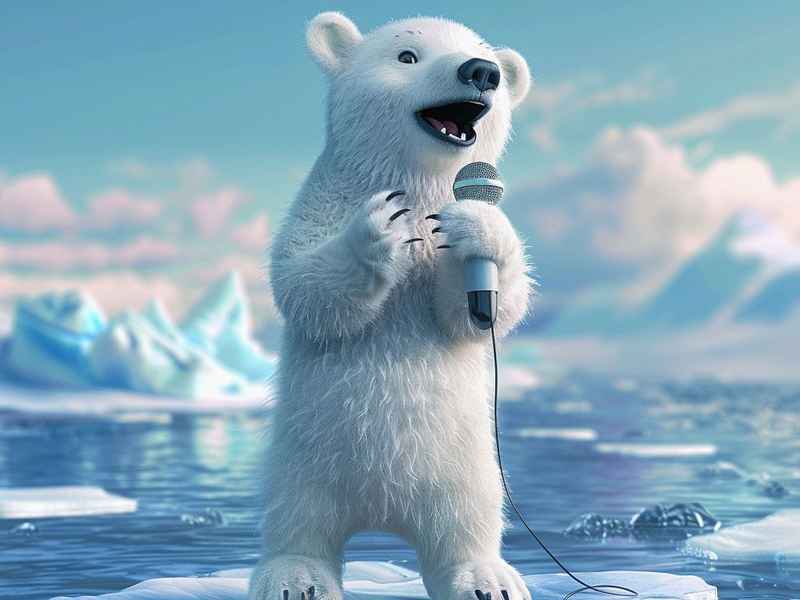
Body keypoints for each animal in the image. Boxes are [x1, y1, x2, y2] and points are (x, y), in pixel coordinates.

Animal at [250, 12, 535, 600]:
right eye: (407, 56)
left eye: (480, 54)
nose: (482, 71)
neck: (419, 183)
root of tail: (382, 515)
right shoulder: (322, 202)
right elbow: (301, 284)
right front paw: (383, 228)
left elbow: (476, 314)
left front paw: (478, 225)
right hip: (305, 459)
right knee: (297, 517)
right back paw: (295, 576)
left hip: (469, 465)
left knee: (466, 520)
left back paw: (486, 578)